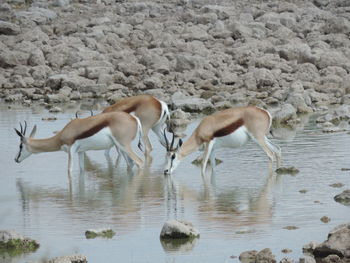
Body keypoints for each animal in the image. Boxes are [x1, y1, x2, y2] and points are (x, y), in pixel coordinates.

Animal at [14, 111, 144, 175]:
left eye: (20, 146)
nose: (15, 159)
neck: (63, 134)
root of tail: (134, 119)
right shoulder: (81, 152)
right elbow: (81, 170)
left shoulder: (71, 151)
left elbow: (69, 170)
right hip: (121, 148)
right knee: (131, 164)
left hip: (124, 145)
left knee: (140, 162)